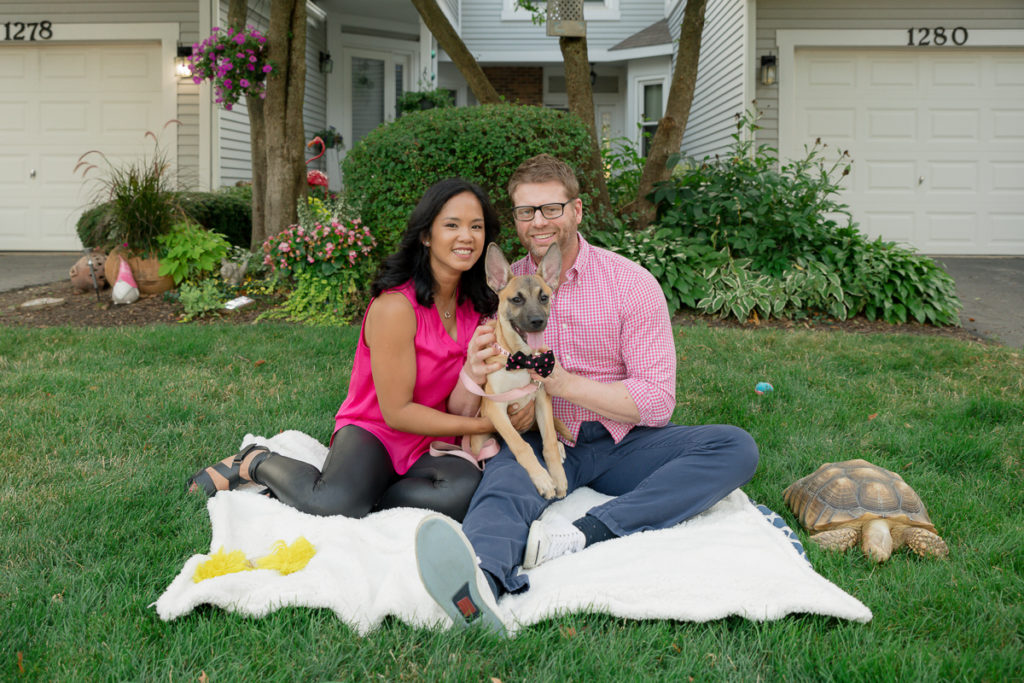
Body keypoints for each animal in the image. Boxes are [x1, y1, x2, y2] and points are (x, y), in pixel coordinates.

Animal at [468, 242, 573, 499]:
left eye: (544, 297)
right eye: (516, 299)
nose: (537, 321)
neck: (523, 361)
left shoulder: (542, 399)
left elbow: (548, 441)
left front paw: (557, 477)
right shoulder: (495, 407)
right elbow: (520, 444)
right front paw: (542, 478)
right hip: (478, 440)